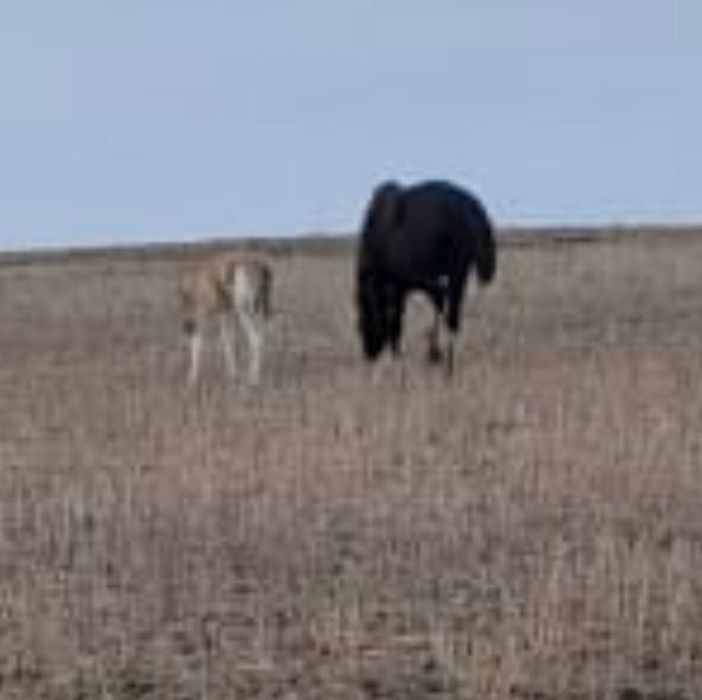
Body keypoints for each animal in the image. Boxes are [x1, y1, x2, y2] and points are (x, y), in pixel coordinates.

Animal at [179, 252, 272, 387]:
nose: (186, 325)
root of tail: (259, 266)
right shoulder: (226, 313)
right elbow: (228, 340)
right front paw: (233, 376)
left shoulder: (203, 314)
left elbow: (198, 343)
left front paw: (192, 380)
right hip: (256, 310)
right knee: (261, 335)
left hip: (244, 311)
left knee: (255, 338)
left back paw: (253, 379)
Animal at [355, 179, 496, 375]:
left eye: (362, 324)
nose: (369, 353)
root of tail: (475, 207)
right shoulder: (408, 284)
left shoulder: (406, 283)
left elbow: (397, 324)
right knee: (449, 310)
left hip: (458, 268)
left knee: (453, 315)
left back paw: (449, 367)